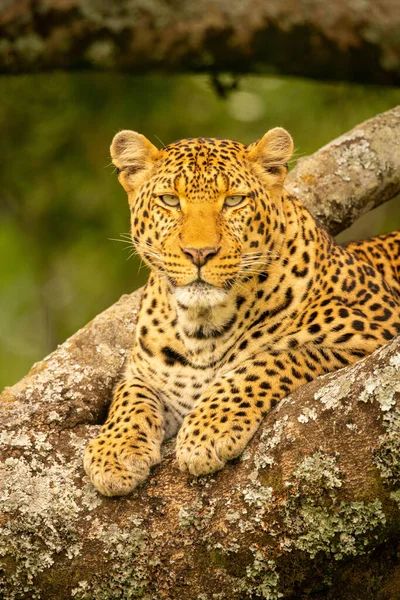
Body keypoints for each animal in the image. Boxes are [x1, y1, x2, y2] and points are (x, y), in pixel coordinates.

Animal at [83, 126, 400, 496]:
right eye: (170, 200)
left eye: (234, 201)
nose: (199, 253)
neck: (202, 326)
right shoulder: (145, 372)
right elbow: (129, 396)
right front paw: (114, 450)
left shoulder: (375, 328)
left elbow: (270, 360)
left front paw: (208, 429)